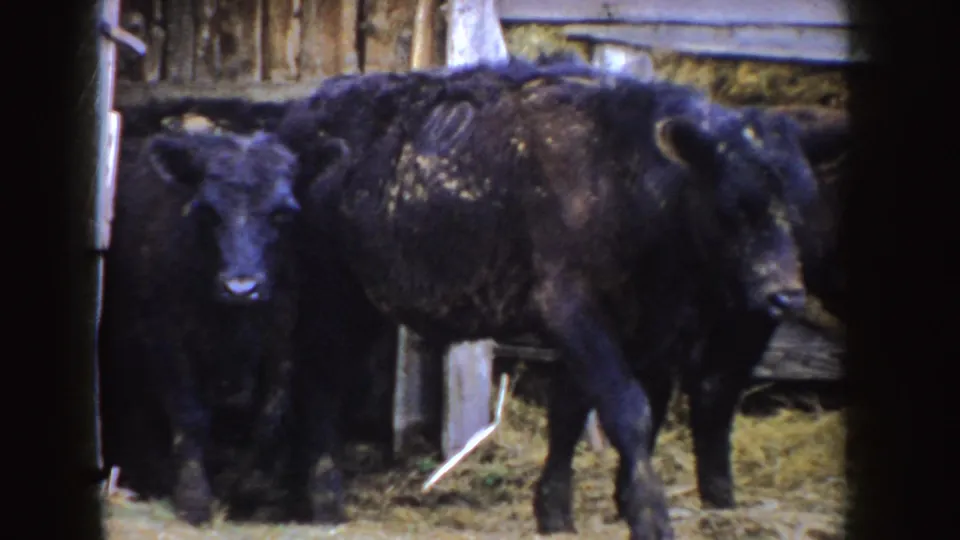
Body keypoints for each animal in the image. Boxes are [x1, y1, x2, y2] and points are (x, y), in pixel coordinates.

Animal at [97, 124, 310, 525]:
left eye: (282, 213)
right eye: (206, 211)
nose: (242, 287)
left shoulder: (282, 337)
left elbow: (269, 418)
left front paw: (241, 489)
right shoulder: (165, 337)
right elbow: (189, 415)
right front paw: (193, 498)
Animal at [271, 56, 821, 540]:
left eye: (802, 207)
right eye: (734, 206)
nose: (786, 297)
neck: (624, 174)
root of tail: (302, 116)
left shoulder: (629, 331)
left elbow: (573, 414)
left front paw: (557, 511)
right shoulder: (575, 313)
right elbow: (628, 410)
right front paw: (650, 516)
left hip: (364, 302)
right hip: (330, 292)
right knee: (320, 379)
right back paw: (324, 498)